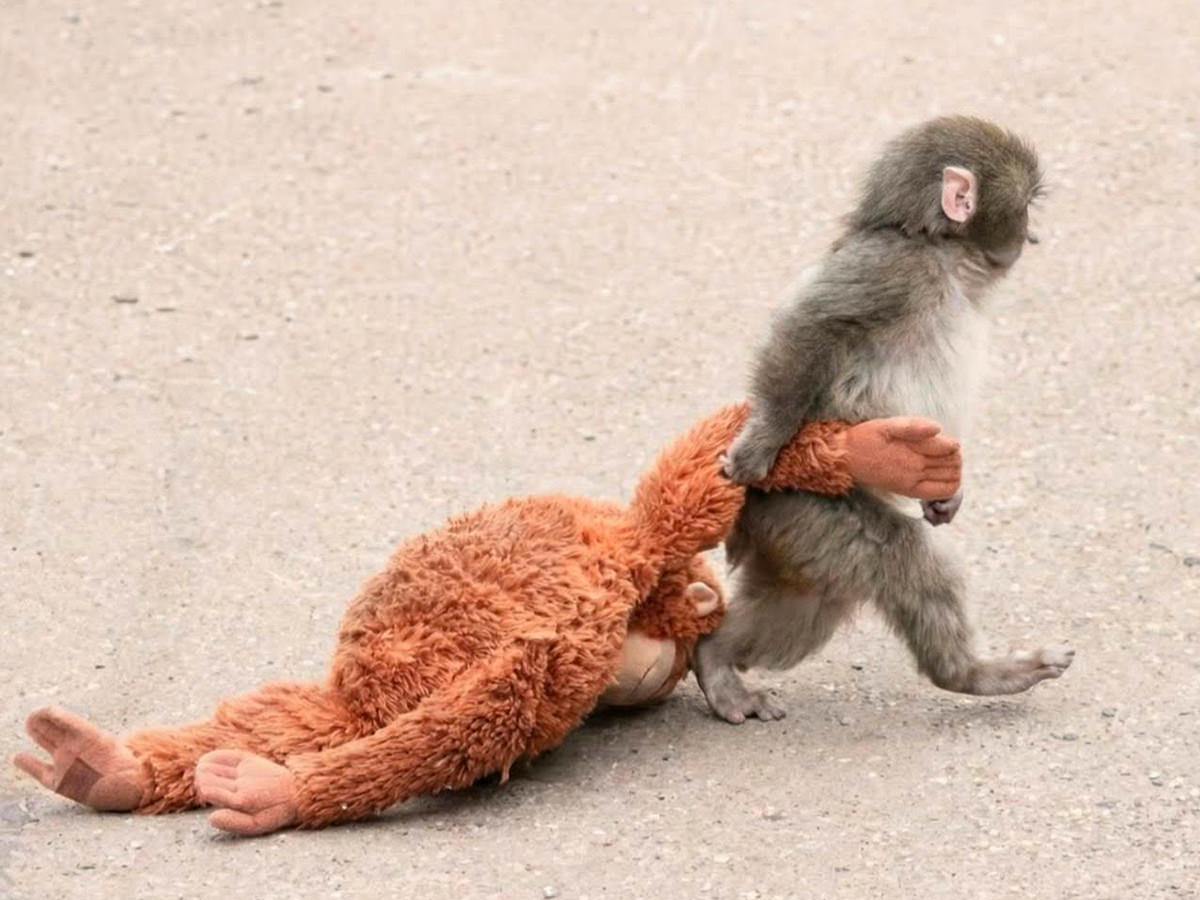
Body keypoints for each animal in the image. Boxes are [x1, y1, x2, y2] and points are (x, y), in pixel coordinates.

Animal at [693, 115, 1074, 724]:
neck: (942, 254)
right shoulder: (892, 270)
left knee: (806, 603)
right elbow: (812, 325)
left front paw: (948, 495)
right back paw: (973, 674)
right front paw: (760, 441)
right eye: (1028, 205)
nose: (1032, 236)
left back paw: (715, 653)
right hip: (802, 507)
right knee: (901, 556)